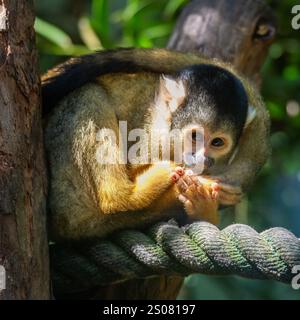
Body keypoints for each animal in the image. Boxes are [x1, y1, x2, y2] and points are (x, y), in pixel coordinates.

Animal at [42, 48, 272, 240]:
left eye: (217, 142)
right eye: (195, 136)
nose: (203, 159)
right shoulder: (154, 133)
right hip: (70, 197)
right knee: (88, 94)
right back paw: (124, 196)